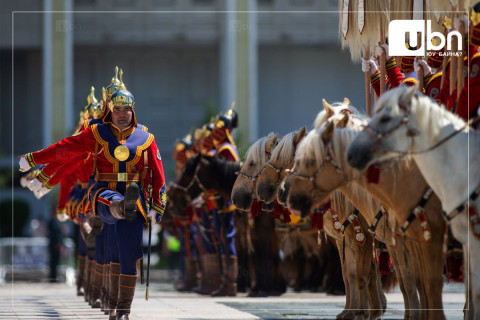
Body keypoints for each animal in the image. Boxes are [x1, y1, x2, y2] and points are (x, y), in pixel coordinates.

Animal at [294, 108, 448, 320]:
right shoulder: (359, 239)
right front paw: (360, 310)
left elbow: (393, 277)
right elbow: (355, 274)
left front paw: (364, 311)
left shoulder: (374, 239)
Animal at [348, 85, 480, 320]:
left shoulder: (416, 239)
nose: (352, 154)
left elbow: (416, 281)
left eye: (386, 118)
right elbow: (414, 280)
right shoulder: (409, 240)